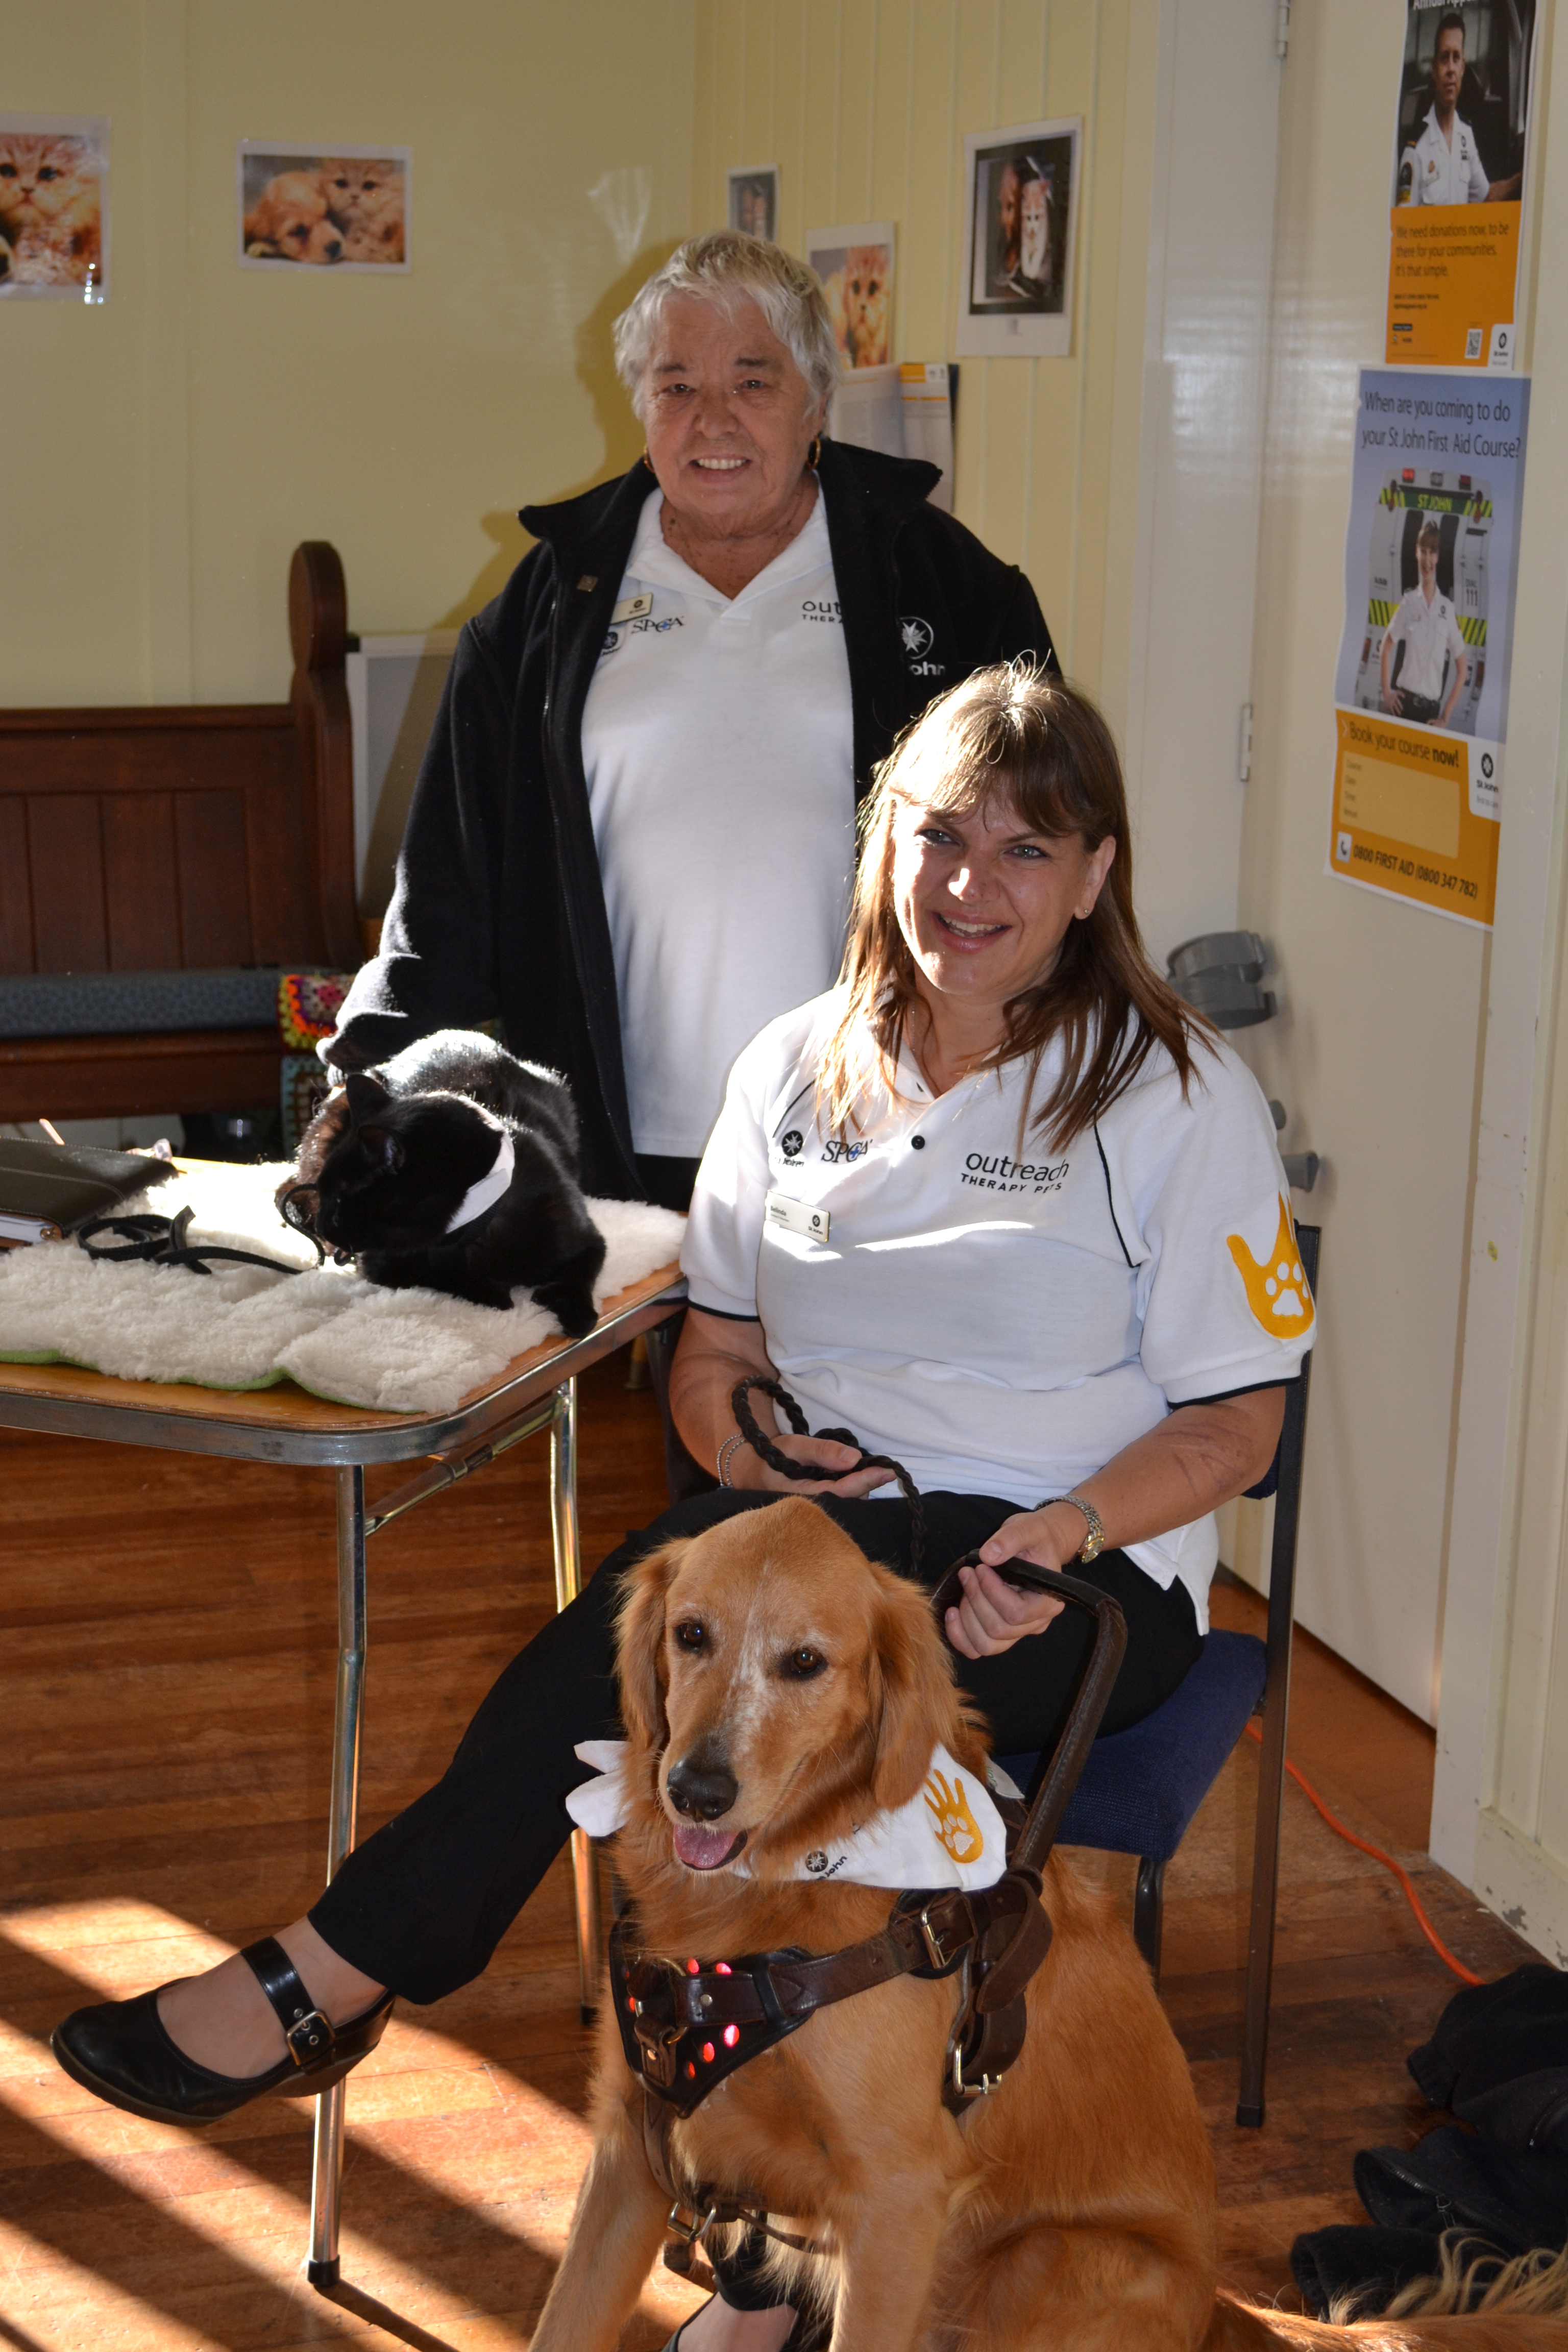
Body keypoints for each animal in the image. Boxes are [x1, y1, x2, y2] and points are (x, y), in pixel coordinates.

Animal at [282, 1035, 606, 1345]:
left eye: (338, 1200)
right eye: (327, 1196)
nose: (321, 1226)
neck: (479, 1222)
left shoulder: (588, 1240)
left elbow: (581, 1274)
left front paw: (576, 1313)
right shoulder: (383, 1266)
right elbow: (444, 1276)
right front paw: (496, 1293)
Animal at [531, 1505, 1568, 2352]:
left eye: (806, 1663)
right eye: (691, 1634)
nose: (694, 1790)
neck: (773, 1904)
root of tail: (1217, 2311)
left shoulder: (898, 2201)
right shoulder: (632, 2151)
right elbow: (560, 2324)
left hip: (1040, 2263)